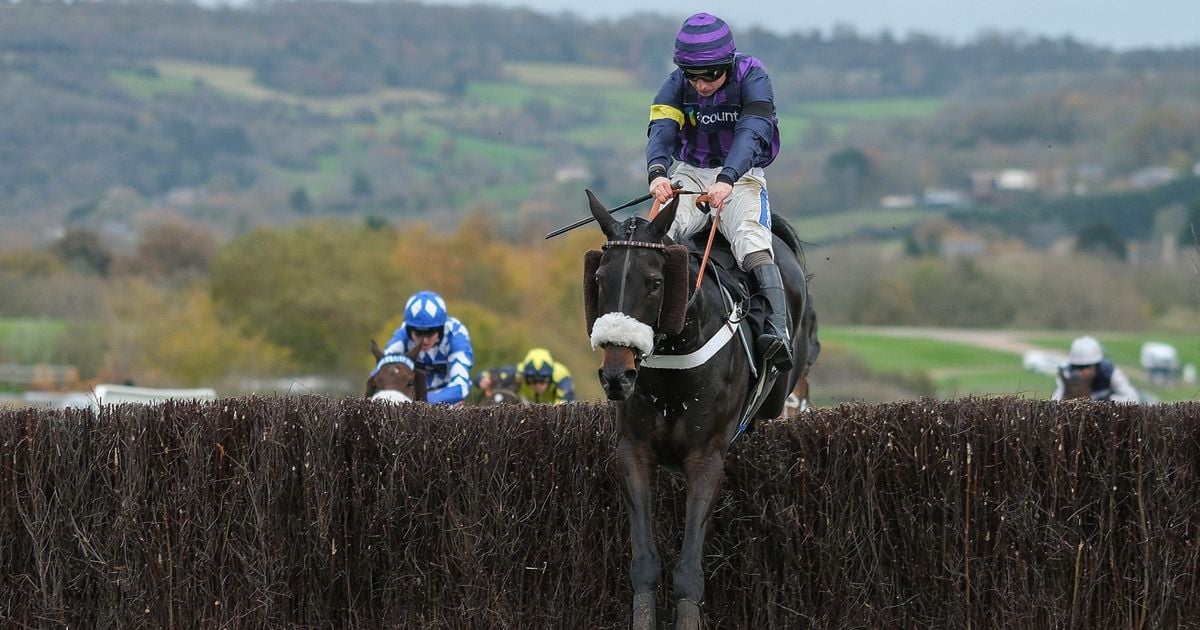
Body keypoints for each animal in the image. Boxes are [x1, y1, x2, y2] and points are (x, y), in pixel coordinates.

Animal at [578, 190, 816, 628]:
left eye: (655, 282)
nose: (617, 375)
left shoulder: (706, 457)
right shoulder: (634, 451)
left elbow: (688, 570)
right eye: (599, 279)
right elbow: (644, 564)